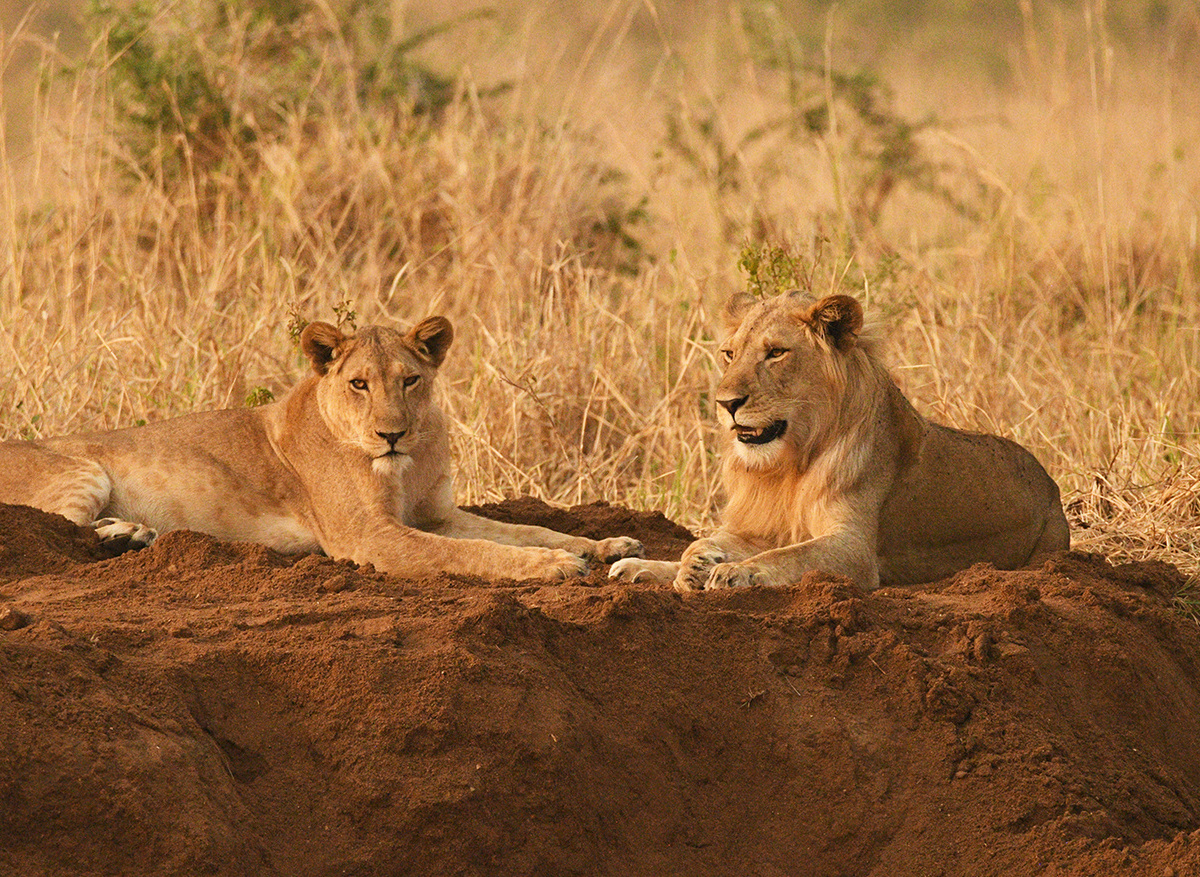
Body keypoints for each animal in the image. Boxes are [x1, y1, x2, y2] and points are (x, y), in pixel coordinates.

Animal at [0, 317, 642, 580]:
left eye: (410, 381)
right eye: (359, 384)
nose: (391, 434)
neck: (408, 464)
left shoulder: (436, 514)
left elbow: (526, 530)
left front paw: (607, 545)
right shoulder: (369, 537)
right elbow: (474, 554)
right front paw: (556, 566)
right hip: (83, 471)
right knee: (52, 525)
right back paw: (125, 533)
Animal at [611, 291, 1069, 592]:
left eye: (776, 353)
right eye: (729, 353)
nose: (726, 403)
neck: (788, 465)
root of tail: (1049, 481)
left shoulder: (854, 548)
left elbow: (787, 557)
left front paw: (735, 573)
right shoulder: (761, 526)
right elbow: (706, 541)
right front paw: (688, 563)